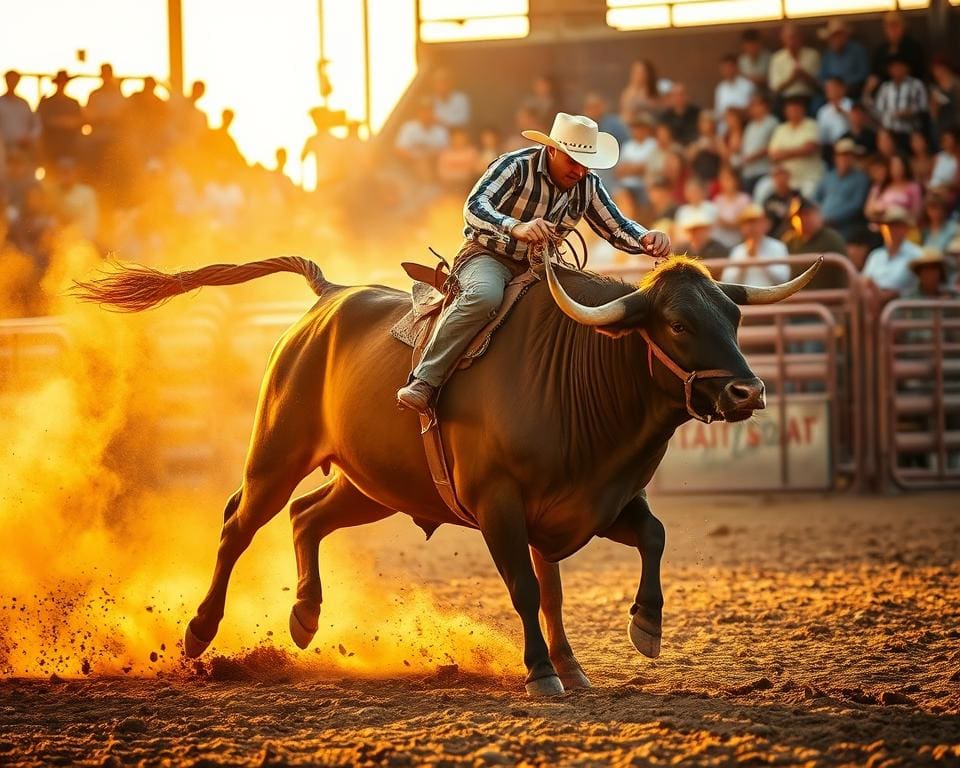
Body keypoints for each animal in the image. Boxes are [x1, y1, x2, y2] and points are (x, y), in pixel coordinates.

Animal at [79, 254, 820, 696]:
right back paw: (199, 633)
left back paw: (305, 616)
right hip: (277, 452)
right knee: (241, 524)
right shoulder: (500, 507)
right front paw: (542, 672)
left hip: (372, 484)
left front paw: (633, 634)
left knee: (307, 516)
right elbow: (526, 588)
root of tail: (329, 298)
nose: (749, 392)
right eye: (676, 323)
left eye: (733, 316)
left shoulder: (594, 504)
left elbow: (638, 547)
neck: (580, 372)